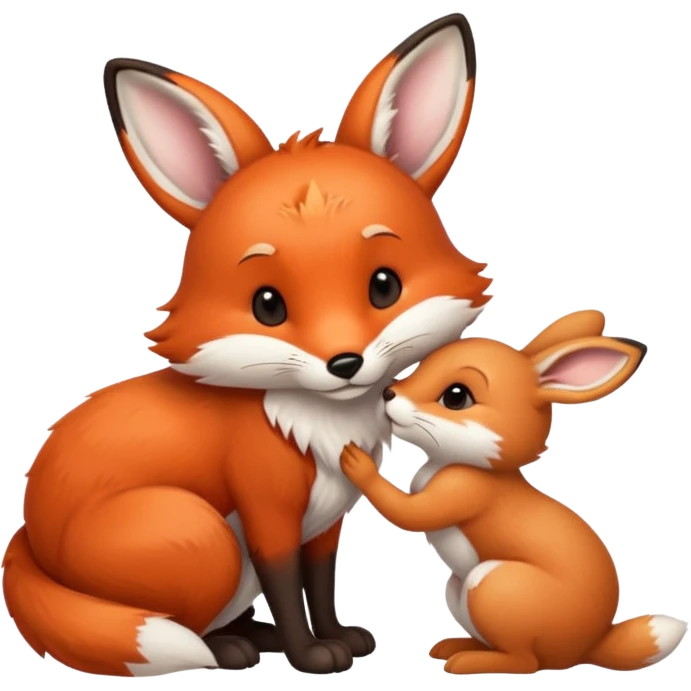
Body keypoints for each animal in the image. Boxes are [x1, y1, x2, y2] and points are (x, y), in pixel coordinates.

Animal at [1, 13, 492, 679]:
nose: (345, 363)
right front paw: (310, 655)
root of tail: (27, 536)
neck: (318, 429)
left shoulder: (325, 521)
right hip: (201, 536)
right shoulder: (268, 514)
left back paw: (249, 638)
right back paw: (228, 648)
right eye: (267, 306)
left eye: (384, 286)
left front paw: (335, 638)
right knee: (182, 620)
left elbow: (320, 584)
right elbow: (286, 585)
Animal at [340, 308, 688, 676]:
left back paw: (467, 662)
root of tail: (590, 647)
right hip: (457, 588)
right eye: (423, 364)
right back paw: (455, 646)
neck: (475, 464)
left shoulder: (464, 489)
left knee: (525, 661)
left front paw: (357, 462)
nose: (388, 392)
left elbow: (410, 513)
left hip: (493, 583)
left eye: (456, 396)